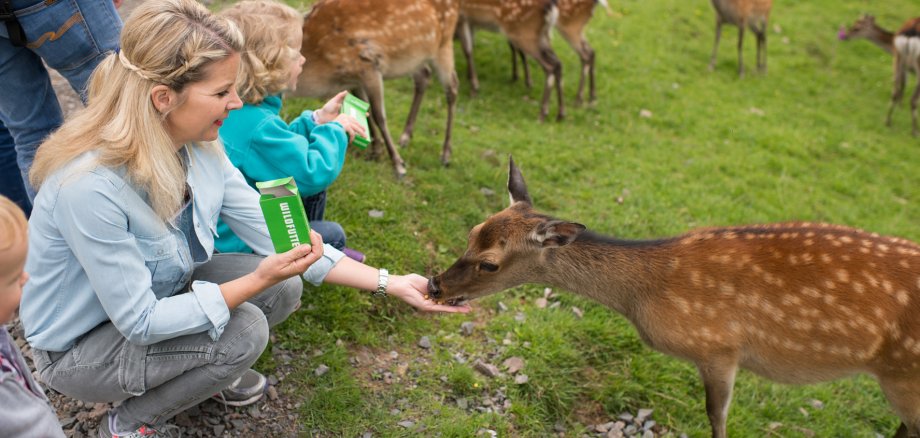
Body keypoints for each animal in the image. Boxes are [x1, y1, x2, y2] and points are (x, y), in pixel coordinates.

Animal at [292, 0, 460, 179]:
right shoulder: (354, 79)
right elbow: (367, 111)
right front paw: (375, 151)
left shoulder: (369, 66)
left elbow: (379, 116)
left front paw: (398, 165)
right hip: (415, 57)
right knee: (424, 75)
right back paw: (405, 137)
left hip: (443, 44)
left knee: (452, 87)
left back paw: (445, 154)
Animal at [428, 157, 920, 438]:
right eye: (472, 231)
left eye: (490, 263)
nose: (436, 285)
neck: (645, 293)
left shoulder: (719, 347)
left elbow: (716, 417)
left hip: (903, 372)